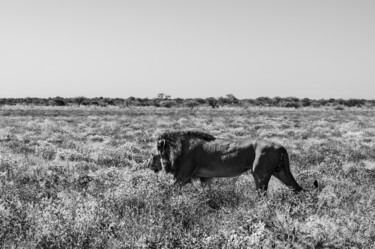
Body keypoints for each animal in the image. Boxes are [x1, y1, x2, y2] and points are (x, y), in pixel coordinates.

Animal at [149, 130, 306, 193]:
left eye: (152, 154)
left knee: (262, 194)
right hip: (280, 171)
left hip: (260, 173)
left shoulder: (182, 177)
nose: (148, 165)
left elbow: (168, 191)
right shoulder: (205, 178)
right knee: (297, 188)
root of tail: (281, 146)